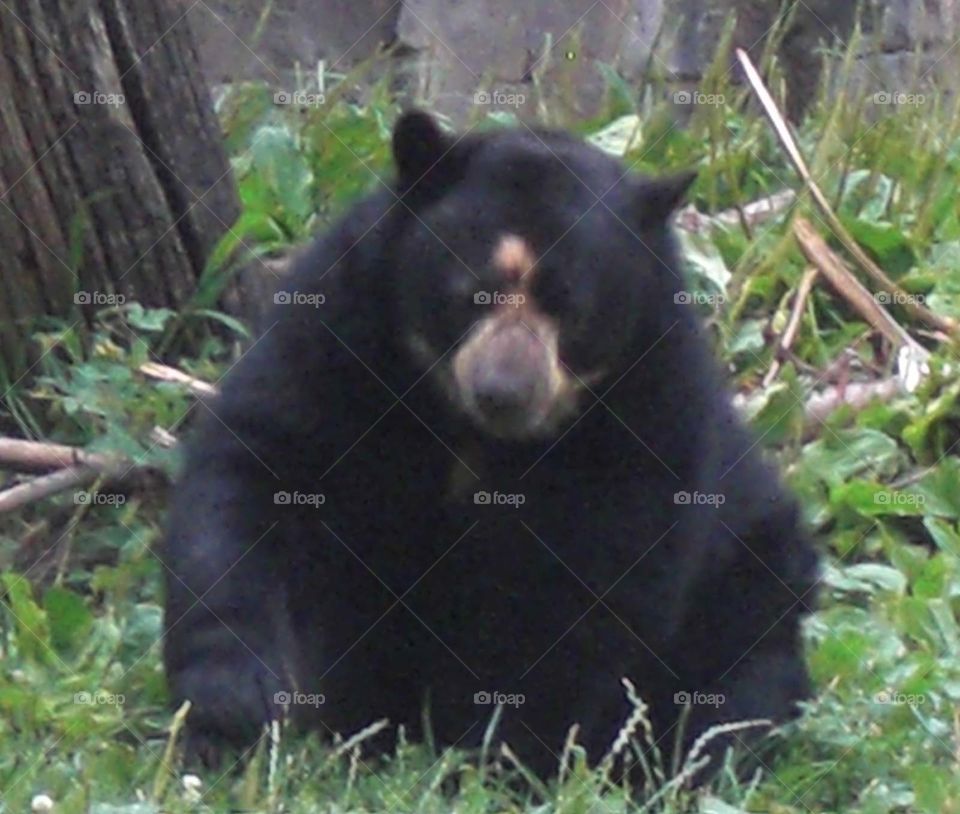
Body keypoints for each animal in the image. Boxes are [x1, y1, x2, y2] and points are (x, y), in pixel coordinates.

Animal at [161, 110, 818, 781]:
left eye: (572, 310)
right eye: (471, 291)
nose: (503, 391)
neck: (473, 432)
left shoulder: (651, 400)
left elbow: (592, 586)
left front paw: (502, 755)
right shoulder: (339, 329)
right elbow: (257, 474)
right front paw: (234, 707)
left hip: (752, 582)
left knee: (736, 687)